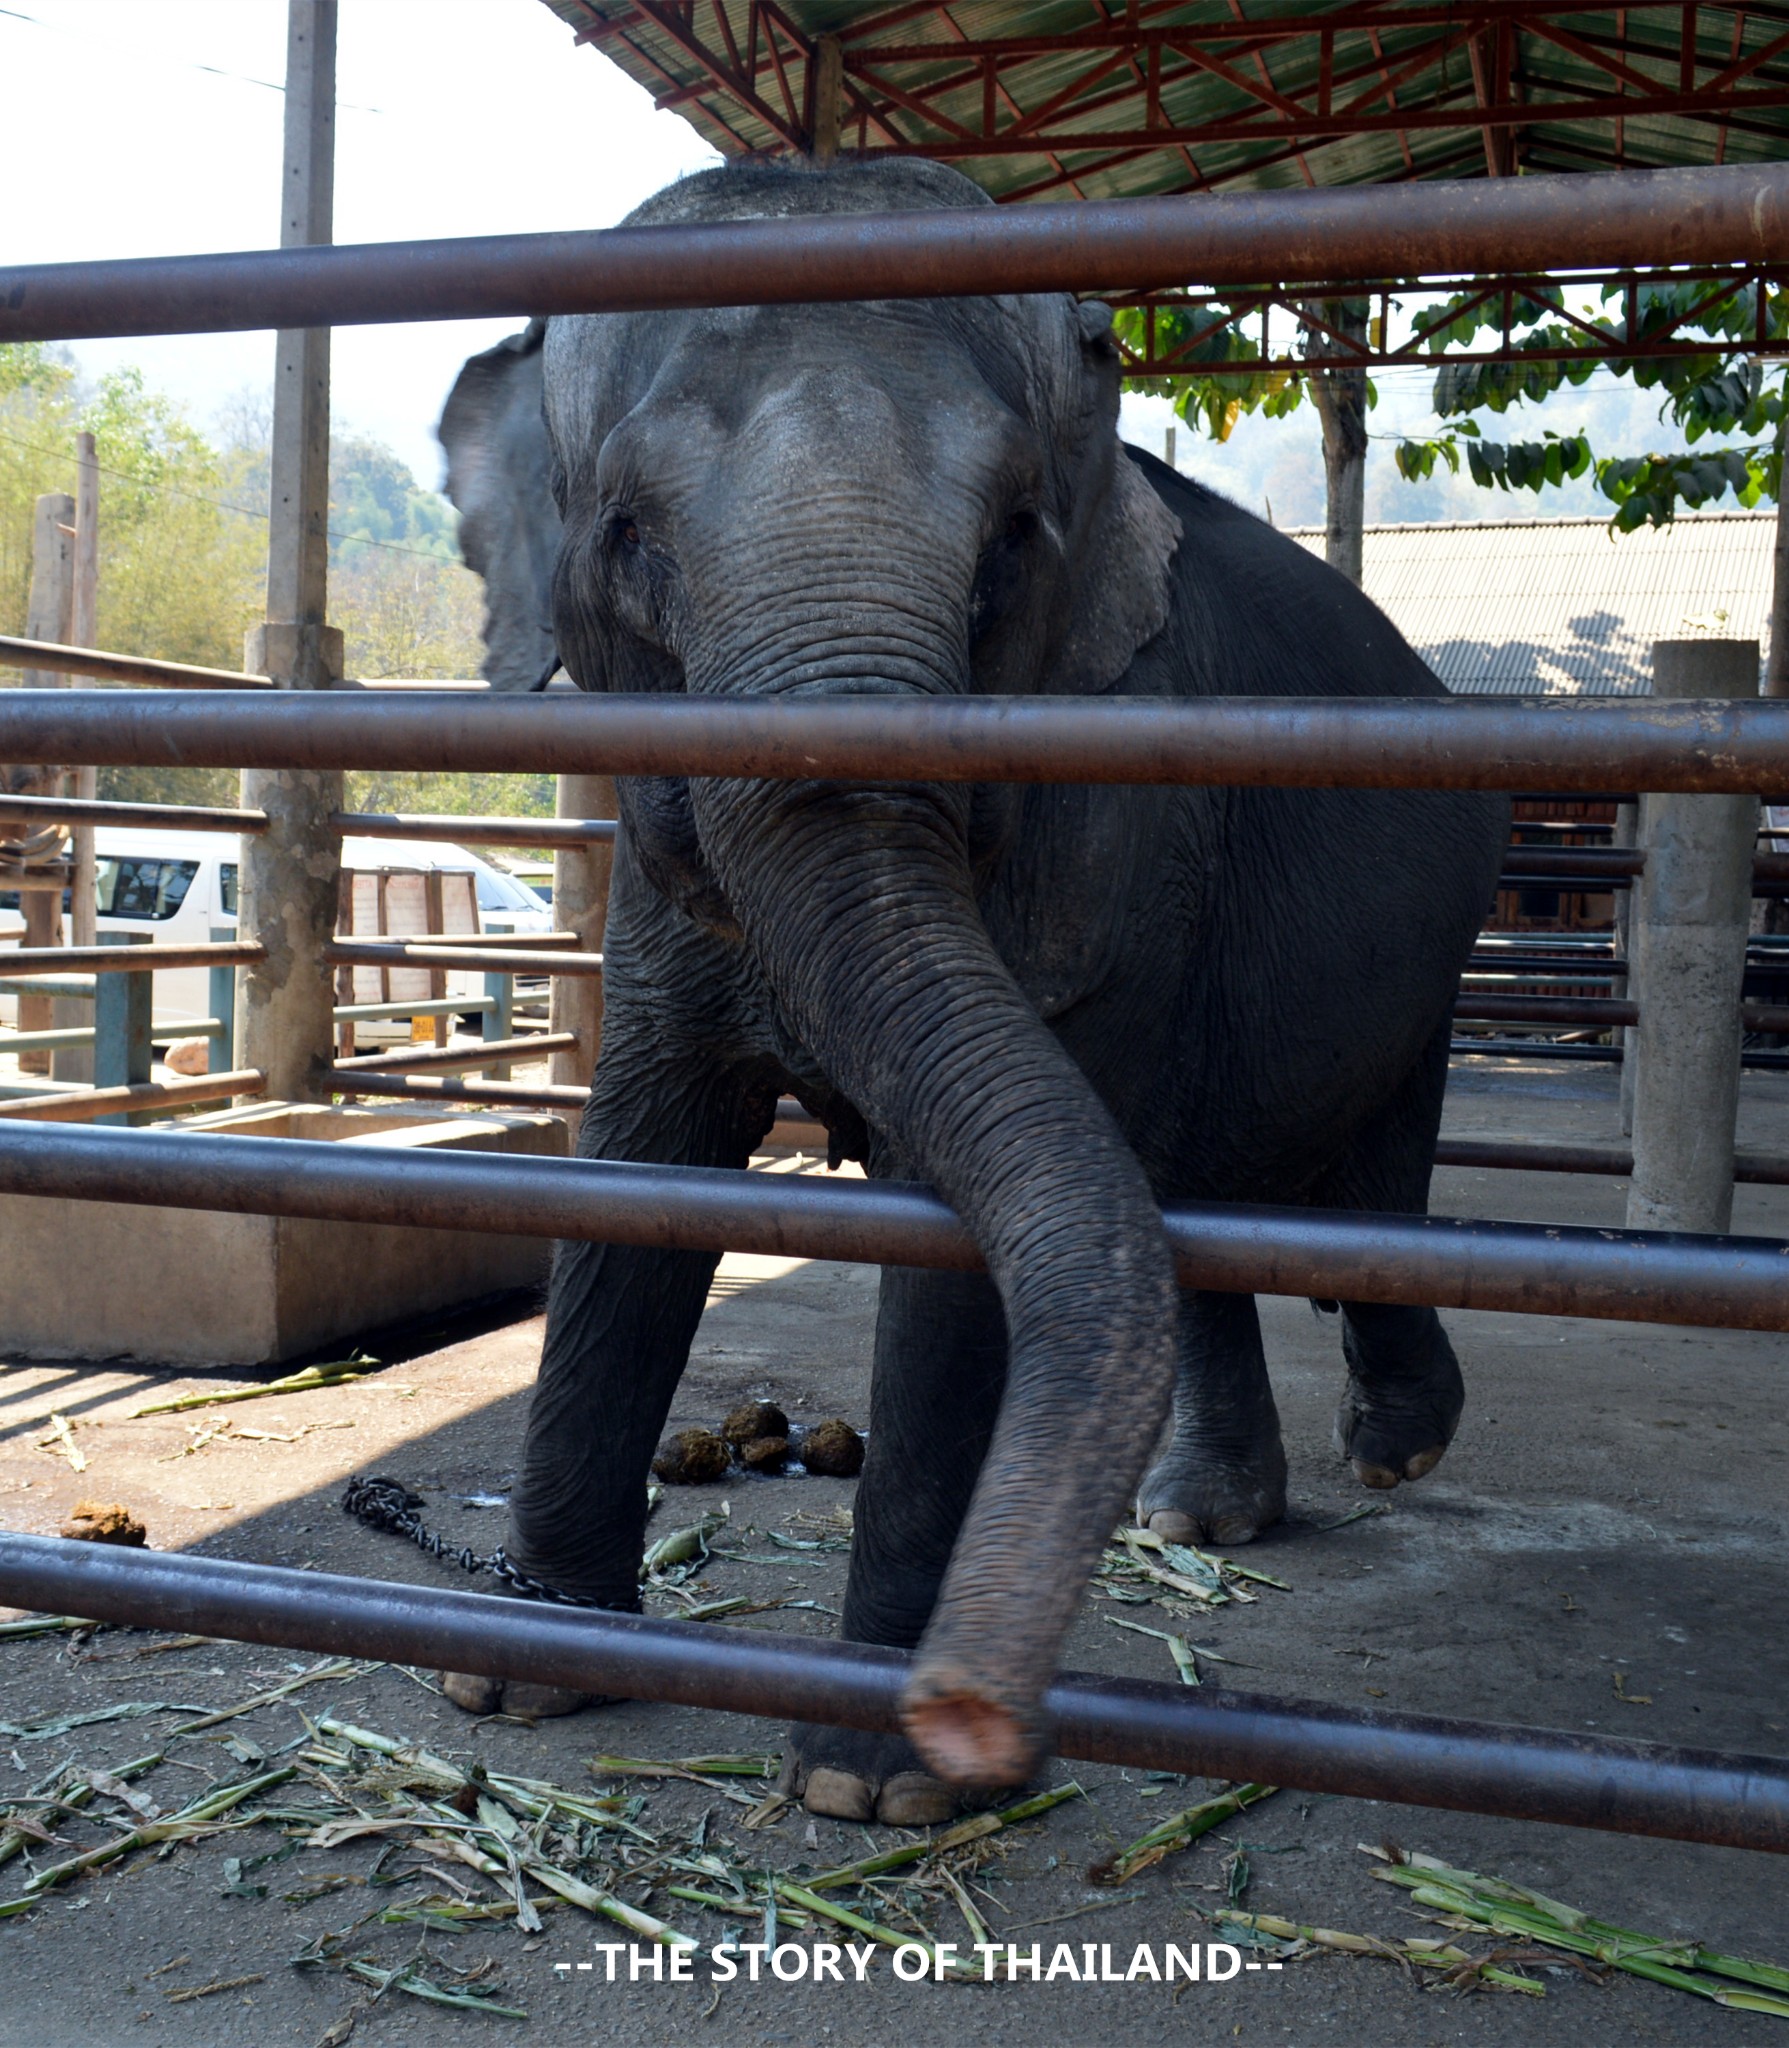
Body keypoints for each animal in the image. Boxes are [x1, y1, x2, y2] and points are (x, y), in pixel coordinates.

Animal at [431, 159, 1506, 1826]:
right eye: (623, 534)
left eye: (1012, 537)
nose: (973, 1708)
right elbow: (638, 1160)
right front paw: (515, 1677)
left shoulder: (1116, 810)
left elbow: (951, 1261)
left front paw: (871, 1785)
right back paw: (1198, 1519)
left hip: (1429, 926)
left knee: (1373, 1160)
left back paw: (1387, 1456)